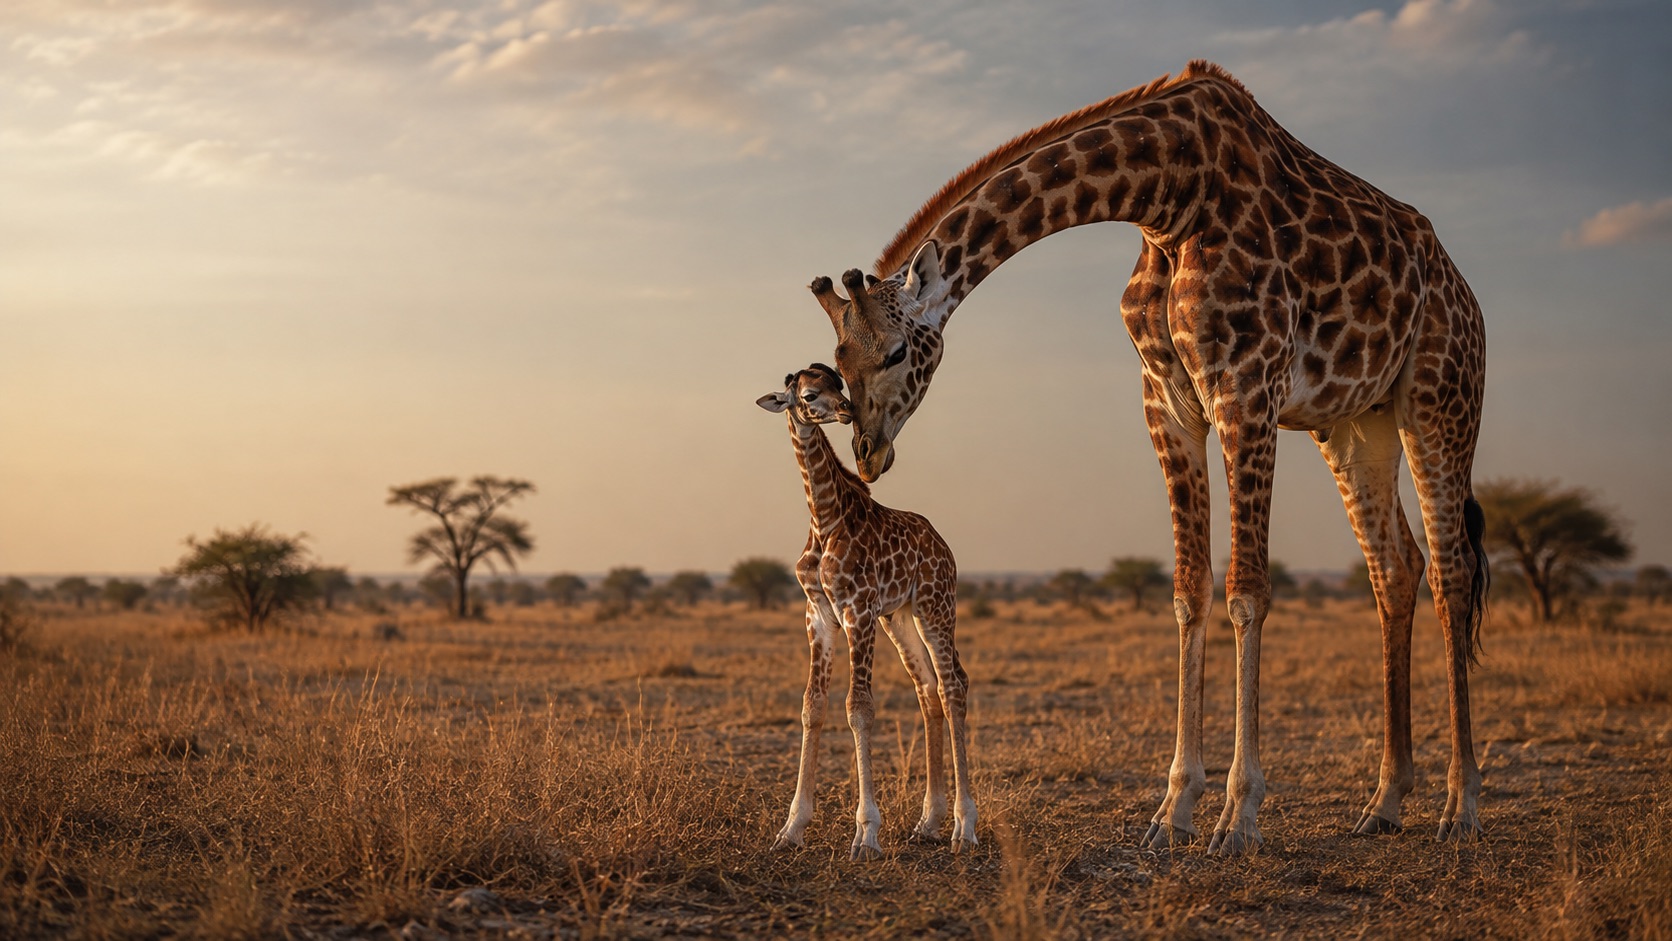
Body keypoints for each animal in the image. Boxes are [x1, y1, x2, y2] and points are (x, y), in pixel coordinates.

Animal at [756, 363, 976, 860]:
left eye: (839, 385)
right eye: (809, 393)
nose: (845, 410)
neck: (823, 518)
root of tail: (944, 545)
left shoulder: (858, 609)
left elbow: (859, 708)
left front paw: (866, 834)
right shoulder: (818, 615)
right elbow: (812, 705)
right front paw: (791, 828)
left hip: (936, 604)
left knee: (953, 685)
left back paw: (964, 827)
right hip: (900, 617)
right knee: (927, 689)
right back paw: (928, 822)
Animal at [808, 60, 1490, 853]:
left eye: (892, 351)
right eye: (836, 363)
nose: (868, 451)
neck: (1169, 193)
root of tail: (1465, 292)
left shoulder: (1247, 388)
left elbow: (1247, 592)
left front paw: (1239, 814)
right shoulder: (1168, 400)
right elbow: (1188, 591)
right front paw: (1174, 809)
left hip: (1440, 398)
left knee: (1451, 569)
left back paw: (1461, 804)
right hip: (1356, 422)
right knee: (1395, 568)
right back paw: (1385, 799)